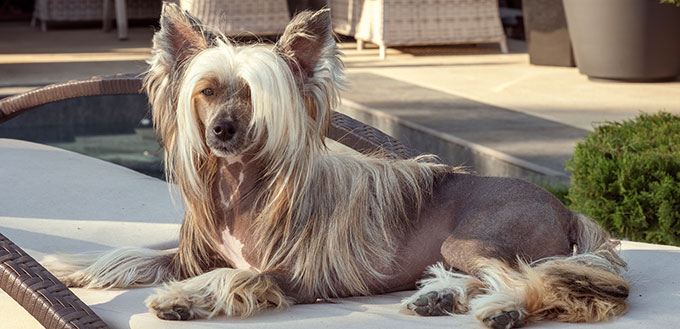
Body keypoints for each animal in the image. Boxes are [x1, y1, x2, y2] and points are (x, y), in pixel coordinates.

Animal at [43, 3, 628, 328]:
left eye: (254, 97)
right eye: (206, 91)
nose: (221, 132)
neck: (243, 188)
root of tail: (567, 209)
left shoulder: (296, 275)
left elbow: (233, 276)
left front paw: (183, 298)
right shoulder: (192, 252)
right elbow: (138, 253)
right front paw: (75, 268)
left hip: (473, 238)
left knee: (529, 278)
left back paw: (506, 307)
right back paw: (438, 295)